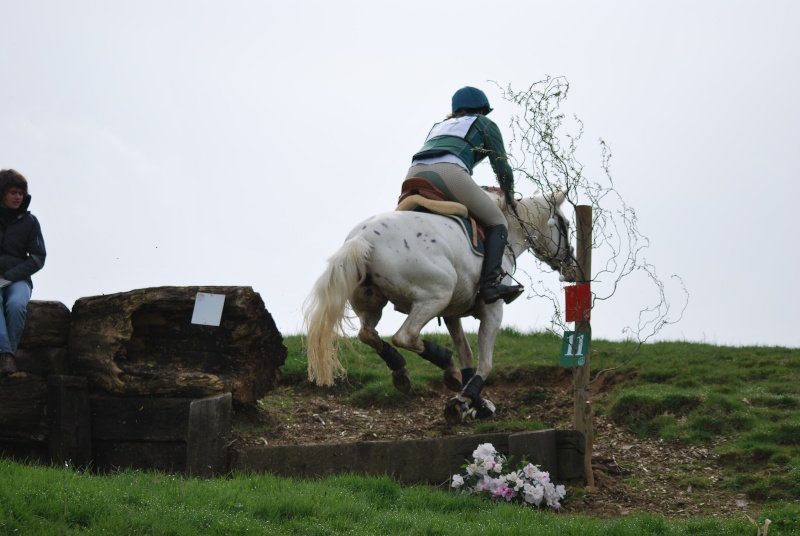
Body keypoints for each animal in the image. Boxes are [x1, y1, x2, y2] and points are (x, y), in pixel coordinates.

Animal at [304, 189, 576, 422]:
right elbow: (485, 363)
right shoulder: (492, 310)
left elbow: (467, 355)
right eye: (565, 224)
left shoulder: (452, 314)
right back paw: (445, 364)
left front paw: (474, 402)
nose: (571, 267)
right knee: (405, 335)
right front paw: (465, 401)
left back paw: (406, 370)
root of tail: (363, 237)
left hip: (372, 302)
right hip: (437, 293)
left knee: (368, 334)